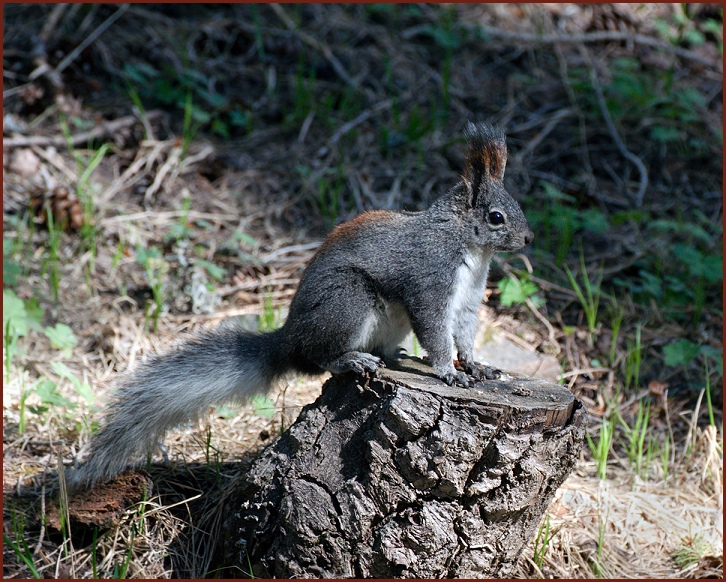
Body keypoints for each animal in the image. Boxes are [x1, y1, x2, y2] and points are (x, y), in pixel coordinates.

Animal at [69, 122, 536, 488]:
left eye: (517, 207)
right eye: (496, 217)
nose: (530, 238)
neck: (469, 247)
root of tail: (289, 340)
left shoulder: (469, 299)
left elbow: (465, 334)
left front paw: (475, 366)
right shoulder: (430, 282)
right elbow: (437, 332)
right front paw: (446, 371)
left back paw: (391, 355)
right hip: (348, 303)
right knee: (318, 358)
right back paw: (351, 360)